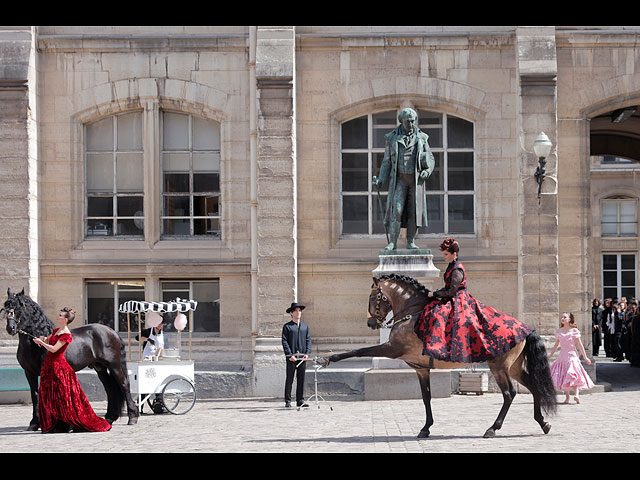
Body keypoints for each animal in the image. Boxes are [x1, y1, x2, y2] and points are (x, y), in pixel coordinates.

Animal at [3, 286, 139, 430]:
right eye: (6, 306)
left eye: (21, 306)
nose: (11, 328)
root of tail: (112, 332)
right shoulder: (29, 373)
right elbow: (35, 395)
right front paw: (34, 423)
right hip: (100, 368)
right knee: (110, 389)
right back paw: (109, 418)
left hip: (114, 365)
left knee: (124, 384)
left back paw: (132, 417)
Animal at [320, 274, 556, 438]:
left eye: (372, 297)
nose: (370, 323)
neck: (411, 313)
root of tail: (525, 327)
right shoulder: (421, 368)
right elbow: (426, 397)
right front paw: (426, 428)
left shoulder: (391, 348)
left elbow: (358, 351)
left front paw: (327, 359)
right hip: (513, 367)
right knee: (533, 387)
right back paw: (542, 422)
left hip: (498, 367)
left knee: (509, 394)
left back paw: (493, 428)